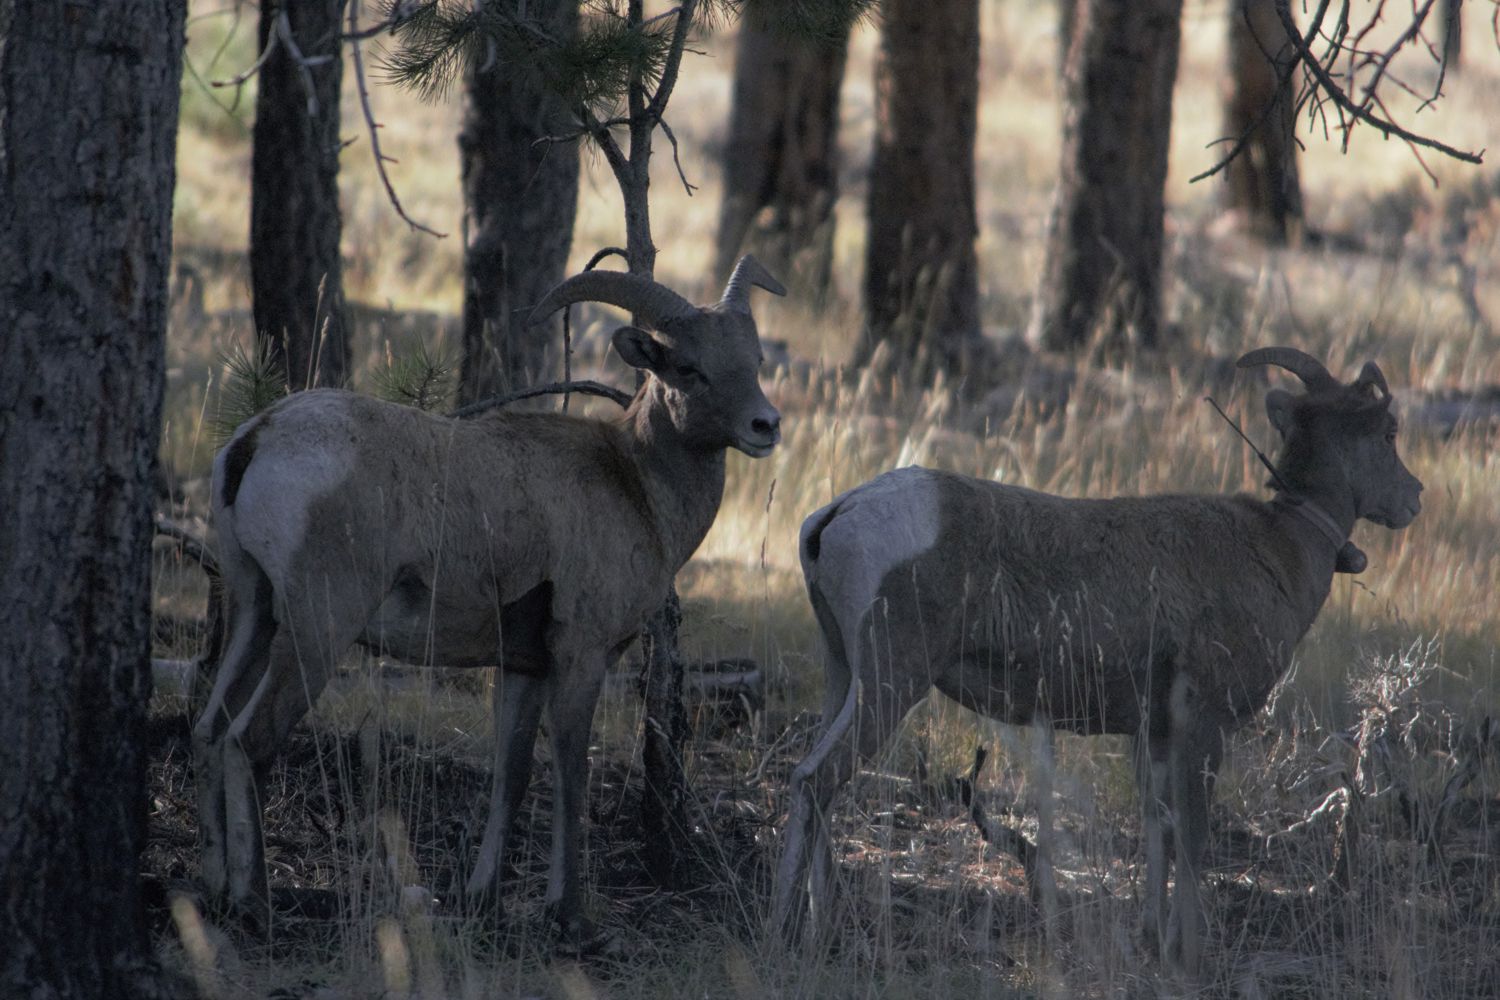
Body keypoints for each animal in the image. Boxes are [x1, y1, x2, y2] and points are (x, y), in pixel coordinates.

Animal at [192, 256, 785, 946]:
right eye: (688, 367)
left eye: (755, 359)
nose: (765, 427)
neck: (635, 484)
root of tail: (254, 440)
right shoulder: (580, 654)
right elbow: (571, 772)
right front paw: (571, 919)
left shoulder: (522, 667)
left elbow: (513, 773)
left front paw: (483, 901)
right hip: (317, 629)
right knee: (250, 741)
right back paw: (254, 904)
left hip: (253, 612)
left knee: (209, 731)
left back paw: (214, 892)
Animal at [773, 348, 1423, 972]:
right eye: (1389, 431)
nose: (1414, 497)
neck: (1281, 549)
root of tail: (835, 516)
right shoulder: (1203, 725)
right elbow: (1192, 835)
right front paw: (1189, 956)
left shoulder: (1151, 733)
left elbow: (1157, 828)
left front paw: (1153, 941)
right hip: (890, 681)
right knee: (814, 781)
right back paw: (791, 933)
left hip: (843, 676)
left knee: (823, 782)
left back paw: (822, 930)